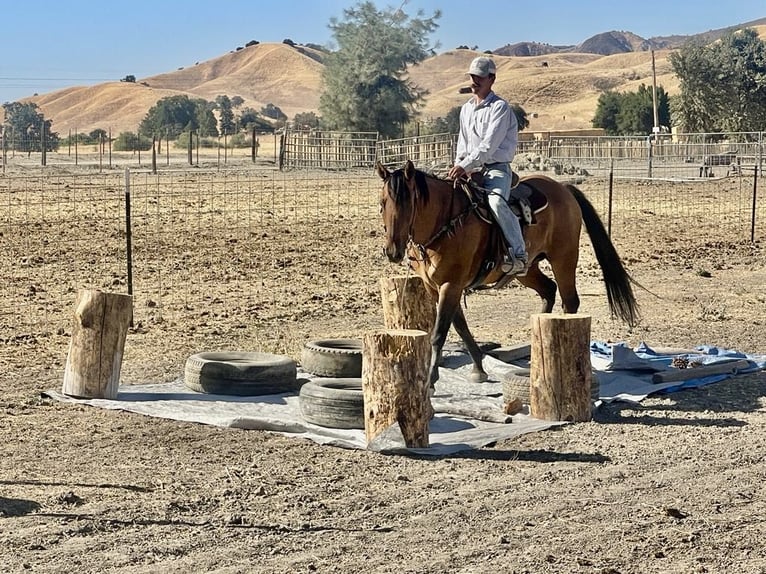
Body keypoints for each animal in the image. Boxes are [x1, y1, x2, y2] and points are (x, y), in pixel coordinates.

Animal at [375, 159, 640, 387]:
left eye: (408, 202)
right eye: (382, 203)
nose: (392, 251)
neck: (447, 221)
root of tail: (563, 188)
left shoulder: (452, 284)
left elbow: (439, 332)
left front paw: (430, 382)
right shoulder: (435, 286)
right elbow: (460, 326)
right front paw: (478, 369)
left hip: (564, 258)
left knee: (569, 301)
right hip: (527, 270)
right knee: (549, 290)